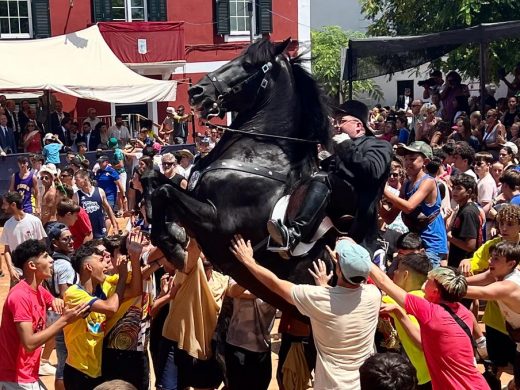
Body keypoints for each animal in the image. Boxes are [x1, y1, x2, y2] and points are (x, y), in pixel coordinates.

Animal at [140, 38, 340, 314]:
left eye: (248, 64)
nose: (196, 91)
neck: (259, 153)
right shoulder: (192, 191)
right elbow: (153, 179)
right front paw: (163, 223)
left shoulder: (218, 221)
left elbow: (165, 191)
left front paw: (175, 246)